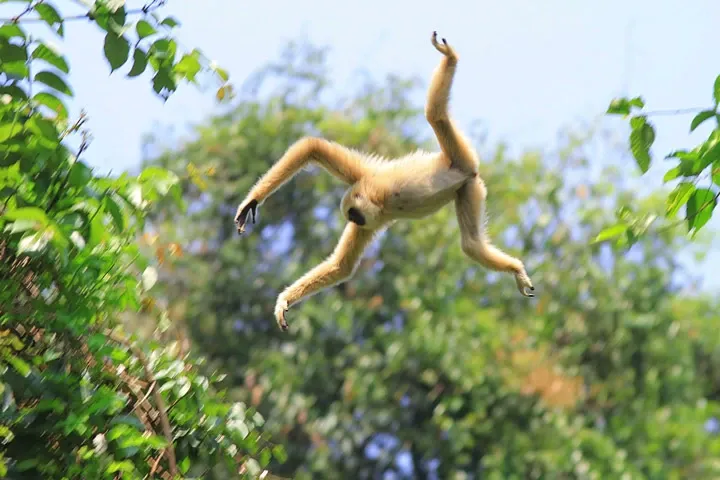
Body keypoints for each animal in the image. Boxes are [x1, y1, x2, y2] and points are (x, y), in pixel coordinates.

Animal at [234, 31, 535, 331]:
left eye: (353, 215)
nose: (355, 221)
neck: (381, 200)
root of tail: (468, 171)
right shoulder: (370, 209)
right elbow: (341, 266)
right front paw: (284, 300)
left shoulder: (366, 179)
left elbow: (311, 146)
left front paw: (252, 200)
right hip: (469, 189)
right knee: (471, 244)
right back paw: (514, 268)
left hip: (457, 155)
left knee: (434, 115)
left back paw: (450, 59)